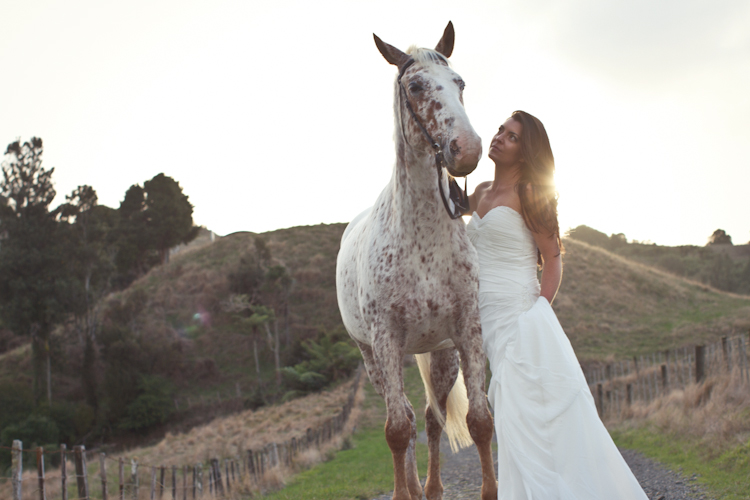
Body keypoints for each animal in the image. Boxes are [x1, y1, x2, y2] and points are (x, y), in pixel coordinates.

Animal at [335, 22, 497, 500]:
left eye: (460, 83)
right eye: (415, 86)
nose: (467, 149)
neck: (422, 241)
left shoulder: (466, 331)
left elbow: (480, 421)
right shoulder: (386, 340)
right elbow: (394, 430)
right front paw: (402, 491)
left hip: (440, 356)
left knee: (428, 417)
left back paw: (432, 487)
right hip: (373, 358)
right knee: (403, 418)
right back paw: (409, 486)